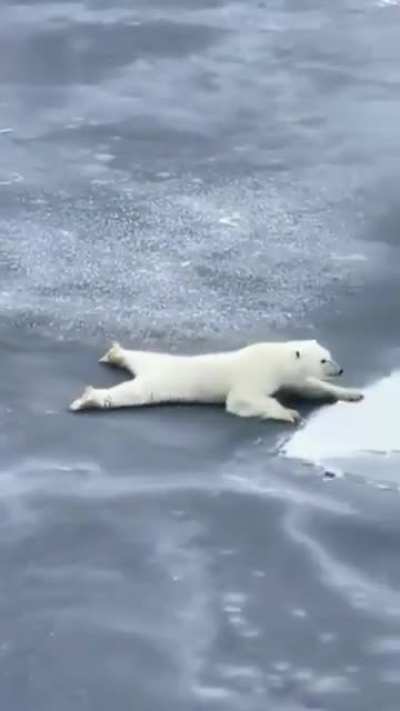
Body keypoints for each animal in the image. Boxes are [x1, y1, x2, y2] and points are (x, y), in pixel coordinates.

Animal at [69, 339, 363, 424]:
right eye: (324, 360)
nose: (340, 369)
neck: (276, 358)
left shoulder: (286, 377)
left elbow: (308, 387)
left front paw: (352, 393)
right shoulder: (256, 373)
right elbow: (240, 399)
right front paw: (289, 413)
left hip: (155, 362)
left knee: (140, 355)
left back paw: (117, 353)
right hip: (158, 382)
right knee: (129, 394)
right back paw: (89, 399)